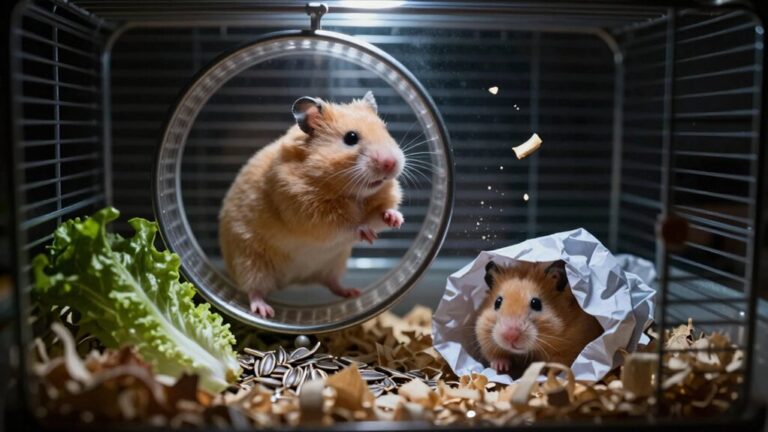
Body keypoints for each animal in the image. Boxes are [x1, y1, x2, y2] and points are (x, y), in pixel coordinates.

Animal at [218, 91, 405, 318]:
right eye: (351, 137)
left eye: (385, 130)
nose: (391, 163)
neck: (354, 194)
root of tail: (293, 280)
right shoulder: (308, 210)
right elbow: (345, 224)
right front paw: (365, 232)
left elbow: (380, 214)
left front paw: (396, 219)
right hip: (250, 260)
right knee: (254, 289)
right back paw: (264, 311)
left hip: (334, 263)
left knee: (331, 282)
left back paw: (352, 292)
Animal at [474, 260, 603, 375]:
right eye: (497, 302)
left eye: (536, 303)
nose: (510, 336)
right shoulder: (484, 338)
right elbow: (495, 355)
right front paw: (501, 367)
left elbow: (558, 365)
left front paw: (544, 373)